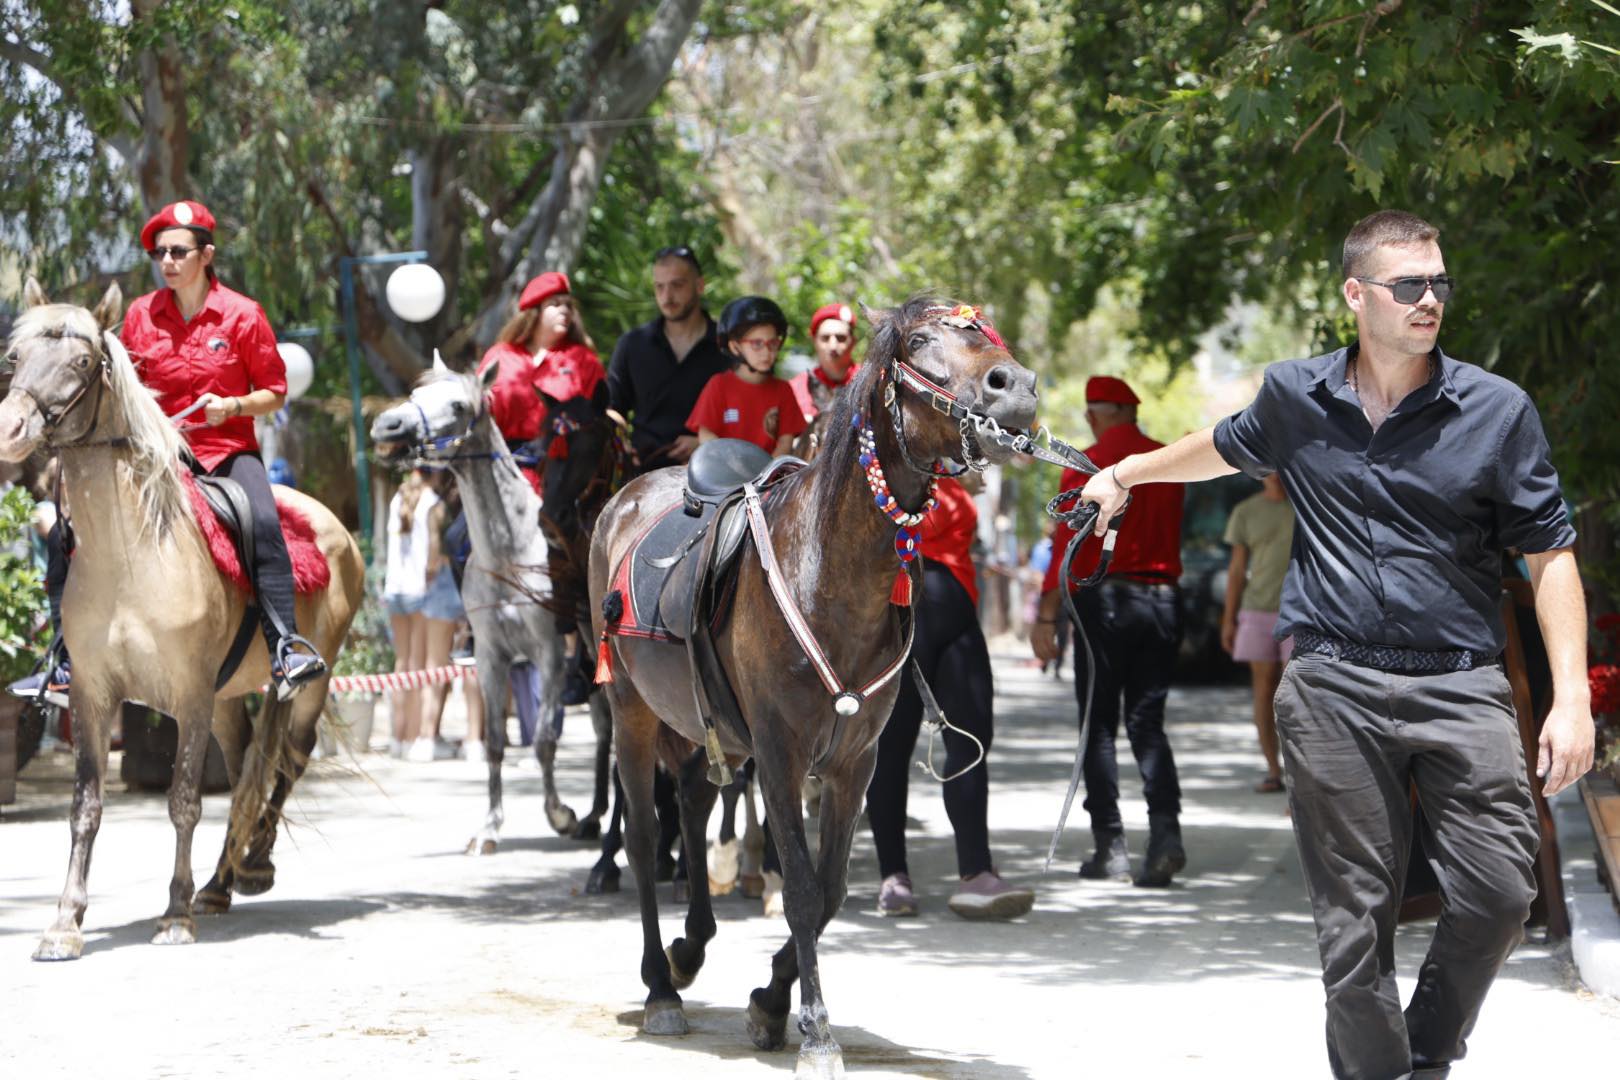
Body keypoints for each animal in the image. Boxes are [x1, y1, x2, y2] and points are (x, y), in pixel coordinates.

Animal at [0, 281, 364, 965]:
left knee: (285, 765)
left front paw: (174, 913)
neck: (129, 557)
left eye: (83, 361)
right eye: (14, 356)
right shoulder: (92, 696)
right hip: (226, 700)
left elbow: (185, 801)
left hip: (309, 685)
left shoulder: (190, 695)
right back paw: (221, 882)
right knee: (248, 768)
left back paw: (252, 864)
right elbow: (86, 807)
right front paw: (64, 923)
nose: (10, 429)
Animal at [370, 356, 609, 854]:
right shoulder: (489, 658)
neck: (509, 551)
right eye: (416, 395)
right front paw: (489, 827)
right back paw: (596, 814)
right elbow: (497, 742)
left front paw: (559, 814)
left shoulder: (549, 655)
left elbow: (543, 740)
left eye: (459, 405)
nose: (389, 425)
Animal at [592, 297, 1036, 1080]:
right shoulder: (779, 753)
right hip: (632, 714)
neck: (825, 574)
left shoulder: (854, 761)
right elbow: (799, 888)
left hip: (703, 727)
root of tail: (627, 497)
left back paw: (687, 952)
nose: (1015, 386)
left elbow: (829, 891)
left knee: (695, 803)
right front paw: (816, 1032)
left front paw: (771, 1003)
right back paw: (659, 989)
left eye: (985, 332)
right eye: (922, 341)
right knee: (645, 839)